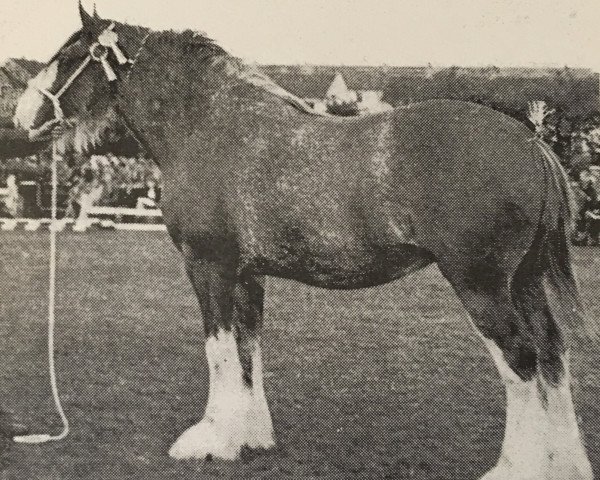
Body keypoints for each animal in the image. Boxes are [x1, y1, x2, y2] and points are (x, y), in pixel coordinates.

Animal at [14, 5, 596, 478]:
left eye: (69, 56)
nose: (22, 116)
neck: (207, 126)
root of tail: (529, 141)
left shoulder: (209, 267)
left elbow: (218, 349)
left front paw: (210, 440)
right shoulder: (246, 276)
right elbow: (247, 350)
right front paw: (248, 437)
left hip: (481, 284)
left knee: (521, 361)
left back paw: (515, 468)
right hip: (524, 281)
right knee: (552, 353)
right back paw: (564, 465)